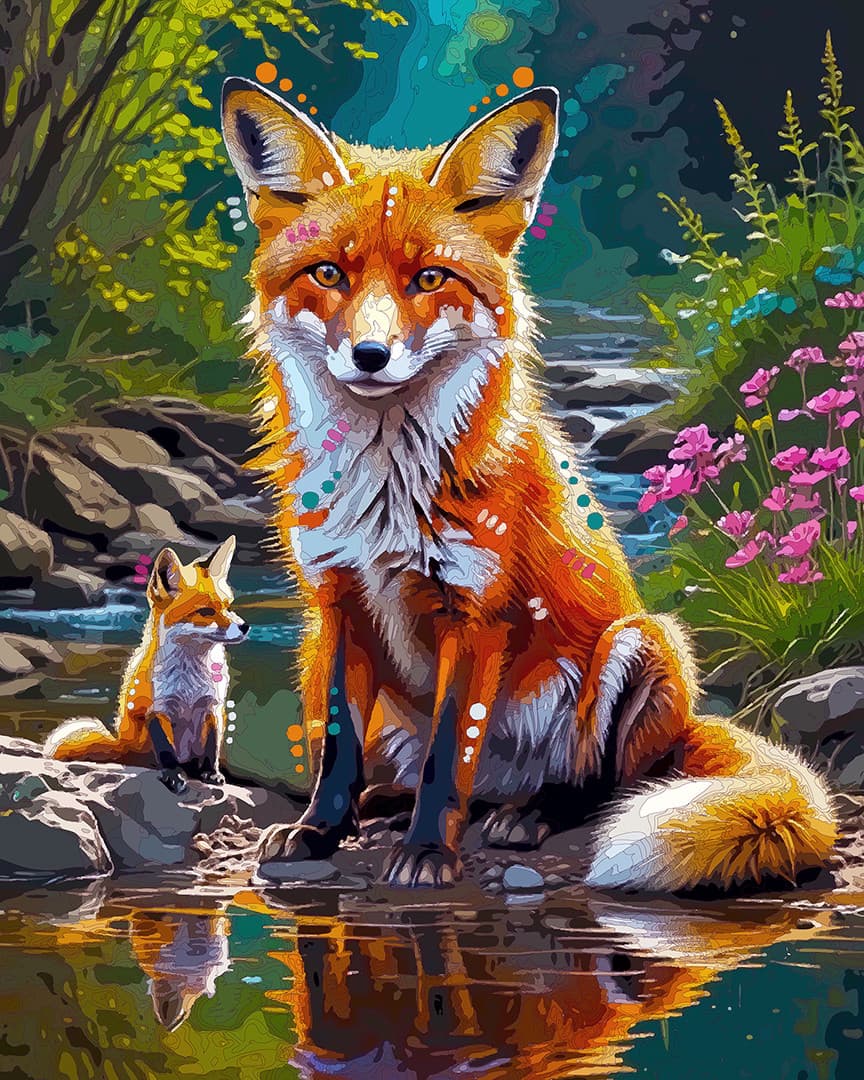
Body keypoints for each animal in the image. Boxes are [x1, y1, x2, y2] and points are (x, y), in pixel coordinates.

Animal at [44, 537, 249, 794]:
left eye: (228, 606)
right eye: (205, 611)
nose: (245, 627)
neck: (189, 680)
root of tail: (122, 745)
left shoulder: (212, 707)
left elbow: (212, 748)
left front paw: (211, 774)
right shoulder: (158, 709)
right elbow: (166, 751)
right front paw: (172, 776)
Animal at [220, 77, 837, 890]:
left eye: (429, 277)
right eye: (329, 273)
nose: (370, 354)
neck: (383, 491)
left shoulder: (475, 612)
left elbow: (450, 755)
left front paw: (428, 853)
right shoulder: (337, 602)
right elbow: (336, 748)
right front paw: (319, 831)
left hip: (641, 645)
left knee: (599, 785)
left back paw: (530, 816)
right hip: (351, 676)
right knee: (430, 776)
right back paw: (388, 806)